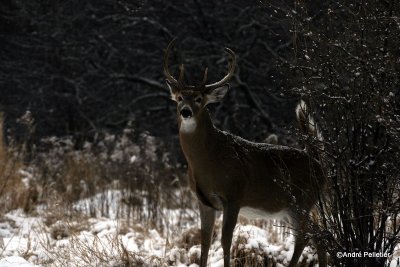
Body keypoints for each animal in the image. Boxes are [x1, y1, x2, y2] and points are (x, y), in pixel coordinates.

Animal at [164, 40, 326, 267]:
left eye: (198, 98)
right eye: (179, 98)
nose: (185, 111)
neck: (208, 160)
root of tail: (318, 163)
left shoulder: (234, 195)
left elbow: (226, 240)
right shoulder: (203, 201)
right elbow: (205, 241)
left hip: (302, 200)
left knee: (305, 237)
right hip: (292, 207)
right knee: (319, 235)